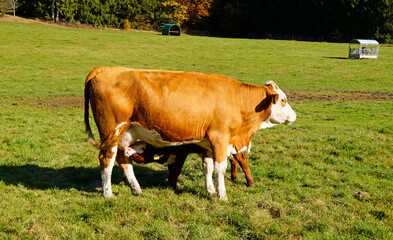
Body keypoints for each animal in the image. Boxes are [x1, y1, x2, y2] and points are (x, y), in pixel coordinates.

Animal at [84, 65, 296, 201]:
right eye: (283, 100)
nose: (294, 116)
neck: (237, 99)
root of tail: (106, 69)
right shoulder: (220, 139)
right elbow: (220, 168)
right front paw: (222, 196)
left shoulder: (207, 144)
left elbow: (208, 167)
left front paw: (210, 191)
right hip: (111, 131)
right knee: (106, 159)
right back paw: (108, 194)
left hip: (126, 133)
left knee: (122, 158)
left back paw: (136, 189)